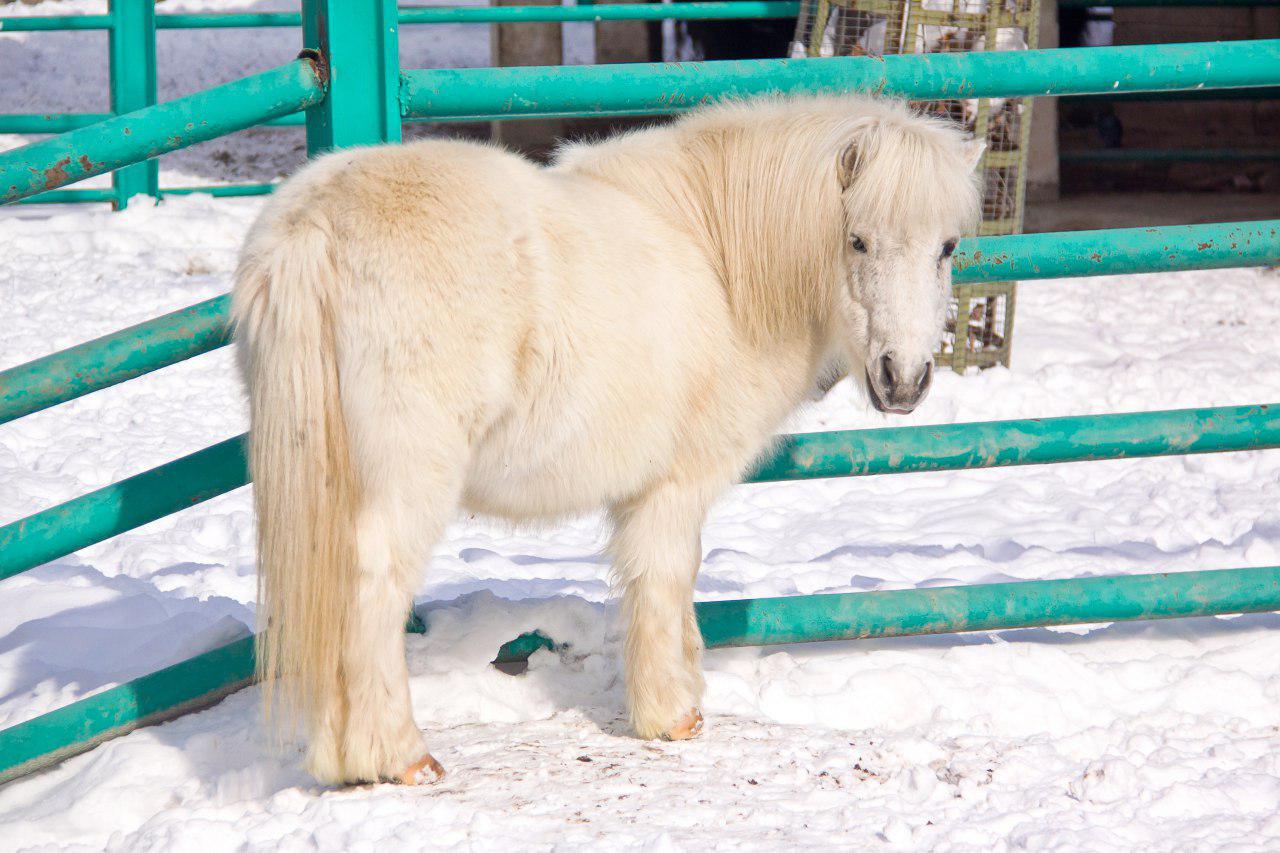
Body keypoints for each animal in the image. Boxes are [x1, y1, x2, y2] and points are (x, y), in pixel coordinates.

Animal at [232, 94, 977, 783]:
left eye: (946, 247)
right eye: (857, 240)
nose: (904, 379)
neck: (718, 261)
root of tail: (315, 224)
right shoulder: (675, 485)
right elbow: (665, 577)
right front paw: (671, 713)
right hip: (409, 478)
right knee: (372, 587)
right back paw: (398, 754)